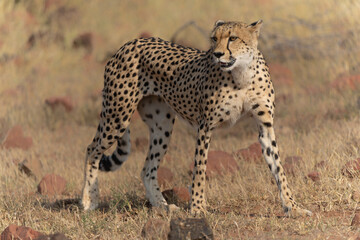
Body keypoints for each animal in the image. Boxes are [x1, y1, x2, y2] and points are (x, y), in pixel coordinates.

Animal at [81, 19, 312, 217]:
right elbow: (200, 168)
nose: (217, 54)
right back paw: (88, 200)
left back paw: (163, 206)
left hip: (162, 125)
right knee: (92, 149)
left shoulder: (265, 125)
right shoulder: (205, 126)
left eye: (233, 38)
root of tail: (131, 43)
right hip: (117, 115)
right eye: (214, 38)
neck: (241, 74)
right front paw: (198, 208)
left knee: (147, 169)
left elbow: (278, 167)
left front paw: (293, 206)